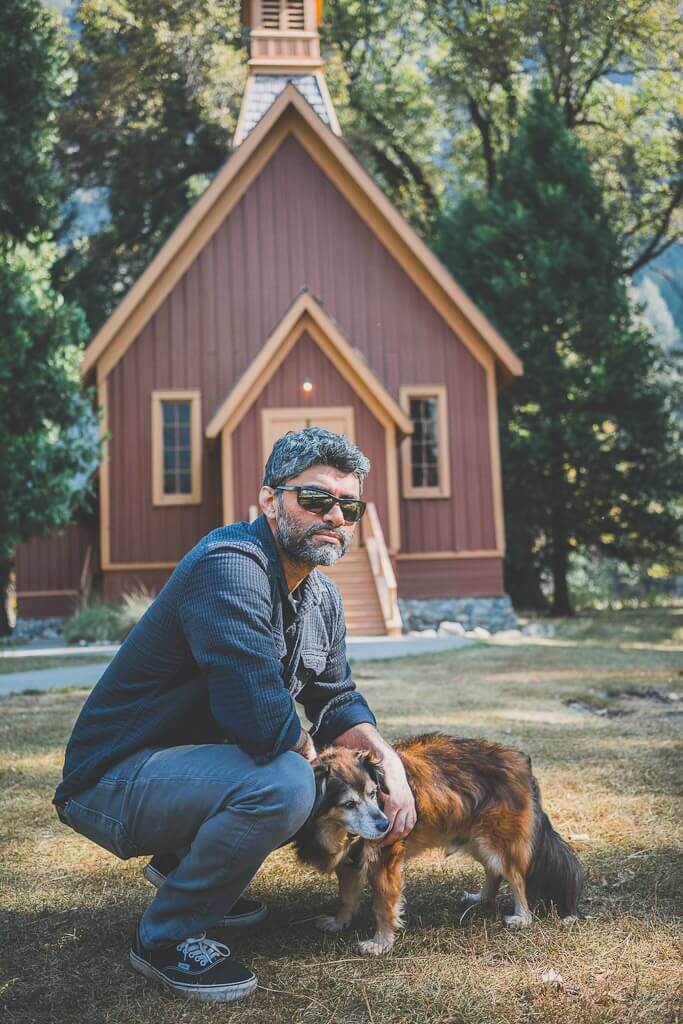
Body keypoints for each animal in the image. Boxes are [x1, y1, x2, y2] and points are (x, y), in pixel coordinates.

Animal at [290, 733, 585, 954]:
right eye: (349, 804)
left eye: (373, 794)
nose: (386, 825)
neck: (337, 831)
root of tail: (522, 762)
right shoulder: (349, 862)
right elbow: (346, 898)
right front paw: (339, 922)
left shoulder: (385, 861)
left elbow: (383, 907)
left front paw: (381, 943)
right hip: (477, 839)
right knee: (494, 871)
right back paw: (481, 898)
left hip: (496, 840)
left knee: (516, 877)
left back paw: (522, 917)